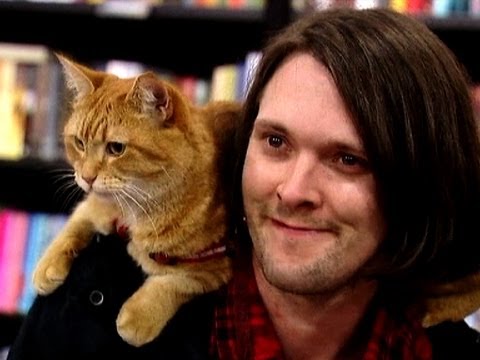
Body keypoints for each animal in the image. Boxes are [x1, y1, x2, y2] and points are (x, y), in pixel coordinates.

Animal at [32, 54, 240, 348]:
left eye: (116, 148)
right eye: (80, 143)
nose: (86, 177)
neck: (131, 210)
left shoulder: (218, 265)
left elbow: (177, 282)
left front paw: (138, 316)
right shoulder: (93, 206)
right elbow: (73, 225)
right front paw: (47, 265)